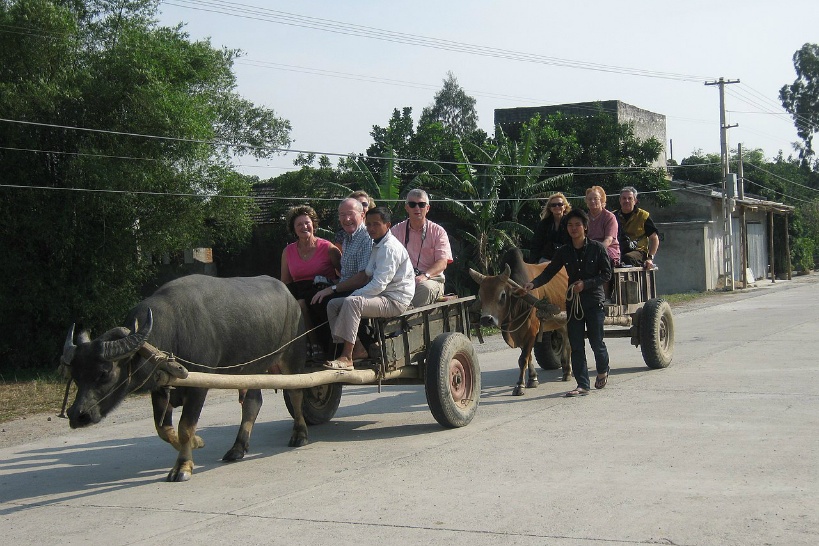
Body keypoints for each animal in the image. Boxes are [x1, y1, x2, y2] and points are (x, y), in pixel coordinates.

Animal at [62, 274, 310, 478]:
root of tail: (289, 296)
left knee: (296, 393)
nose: (77, 415)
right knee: (253, 402)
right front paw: (197, 442)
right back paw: (237, 448)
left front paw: (182, 466)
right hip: (253, 369)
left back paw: (300, 434)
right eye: (75, 375)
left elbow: (185, 427)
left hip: (293, 356)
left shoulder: (199, 386)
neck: (172, 332)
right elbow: (164, 429)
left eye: (104, 373)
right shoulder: (161, 387)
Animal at [470, 248, 572, 396]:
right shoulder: (519, 335)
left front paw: (519, 385)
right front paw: (532, 379)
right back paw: (566, 370)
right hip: (559, 322)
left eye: (502, 295)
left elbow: (523, 359)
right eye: (480, 295)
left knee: (569, 343)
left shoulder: (531, 333)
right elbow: (528, 357)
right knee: (565, 339)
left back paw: (568, 371)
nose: (486, 319)